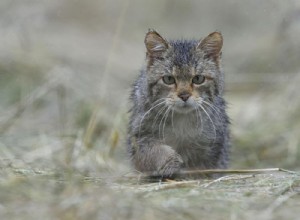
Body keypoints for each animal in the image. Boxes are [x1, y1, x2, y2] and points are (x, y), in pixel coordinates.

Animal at [126, 29, 230, 179]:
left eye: (198, 78)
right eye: (169, 79)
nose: (184, 95)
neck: (181, 120)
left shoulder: (212, 145)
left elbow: (202, 166)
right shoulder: (139, 137)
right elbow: (153, 151)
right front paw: (169, 161)